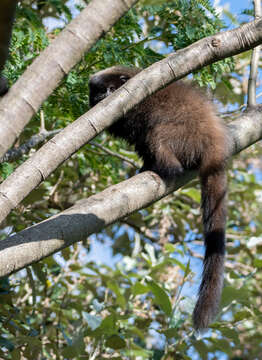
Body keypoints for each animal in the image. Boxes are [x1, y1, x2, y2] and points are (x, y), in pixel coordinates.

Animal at [88, 64, 227, 330]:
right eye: (99, 91)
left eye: (111, 89)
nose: (103, 98)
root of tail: (212, 140)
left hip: (182, 135)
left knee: (157, 134)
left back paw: (164, 168)